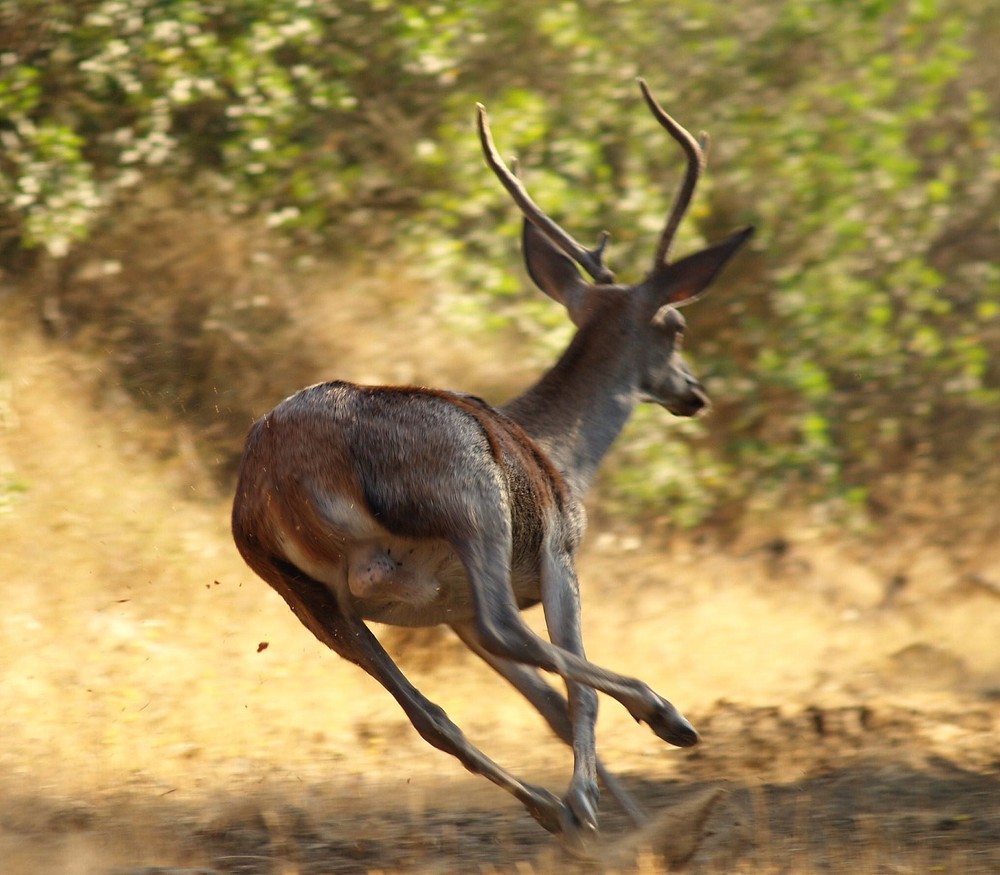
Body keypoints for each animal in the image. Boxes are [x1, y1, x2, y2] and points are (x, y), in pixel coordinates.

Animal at [232, 77, 752, 848]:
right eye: (677, 325)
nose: (694, 392)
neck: (562, 452)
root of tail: (283, 476)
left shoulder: (449, 614)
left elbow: (549, 704)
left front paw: (612, 822)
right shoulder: (559, 553)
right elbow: (573, 693)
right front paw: (614, 807)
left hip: (305, 592)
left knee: (428, 714)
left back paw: (551, 808)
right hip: (470, 504)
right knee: (509, 630)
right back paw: (660, 723)